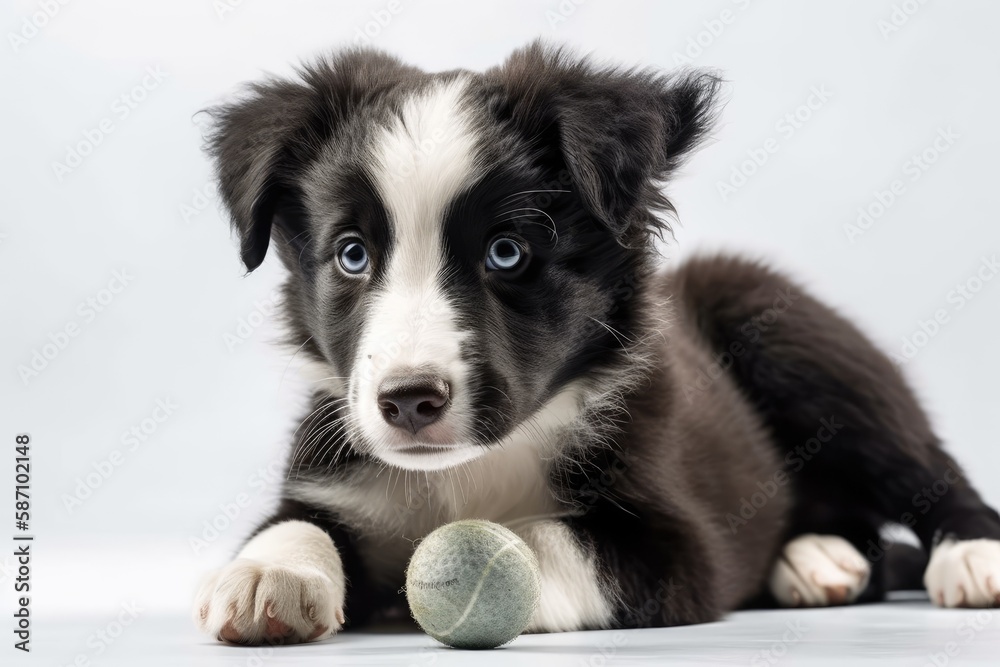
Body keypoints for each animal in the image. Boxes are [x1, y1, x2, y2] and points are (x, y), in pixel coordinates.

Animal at [193, 43, 1000, 648]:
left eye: (507, 253)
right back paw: (817, 558)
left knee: (925, 467)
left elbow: (549, 539)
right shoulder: (336, 473)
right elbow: (296, 523)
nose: (409, 400)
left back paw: (970, 555)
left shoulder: (676, 544)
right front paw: (269, 576)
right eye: (352, 255)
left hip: (787, 330)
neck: (470, 469)